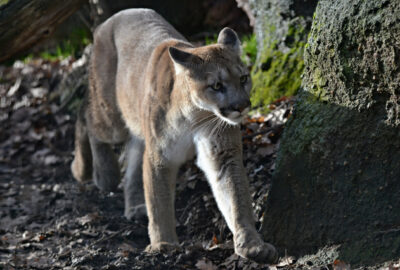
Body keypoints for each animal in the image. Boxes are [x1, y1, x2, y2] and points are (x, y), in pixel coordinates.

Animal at [71, 8, 278, 264]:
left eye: (243, 78)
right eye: (216, 86)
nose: (241, 107)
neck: (195, 114)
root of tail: (111, 19)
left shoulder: (222, 154)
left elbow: (235, 197)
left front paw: (251, 245)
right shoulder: (160, 155)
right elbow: (158, 201)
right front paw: (164, 244)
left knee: (134, 155)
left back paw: (135, 206)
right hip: (111, 117)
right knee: (88, 117)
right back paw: (102, 172)